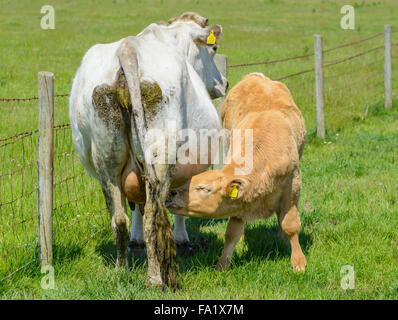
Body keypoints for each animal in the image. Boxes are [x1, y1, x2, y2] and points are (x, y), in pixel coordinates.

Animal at [69, 12, 227, 286]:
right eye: (214, 48)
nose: (224, 84)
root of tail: (128, 48)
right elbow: (178, 203)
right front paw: (182, 240)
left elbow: (135, 206)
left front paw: (137, 241)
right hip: (161, 152)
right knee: (154, 212)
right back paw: (155, 278)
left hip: (106, 157)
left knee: (119, 217)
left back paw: (121, 269)